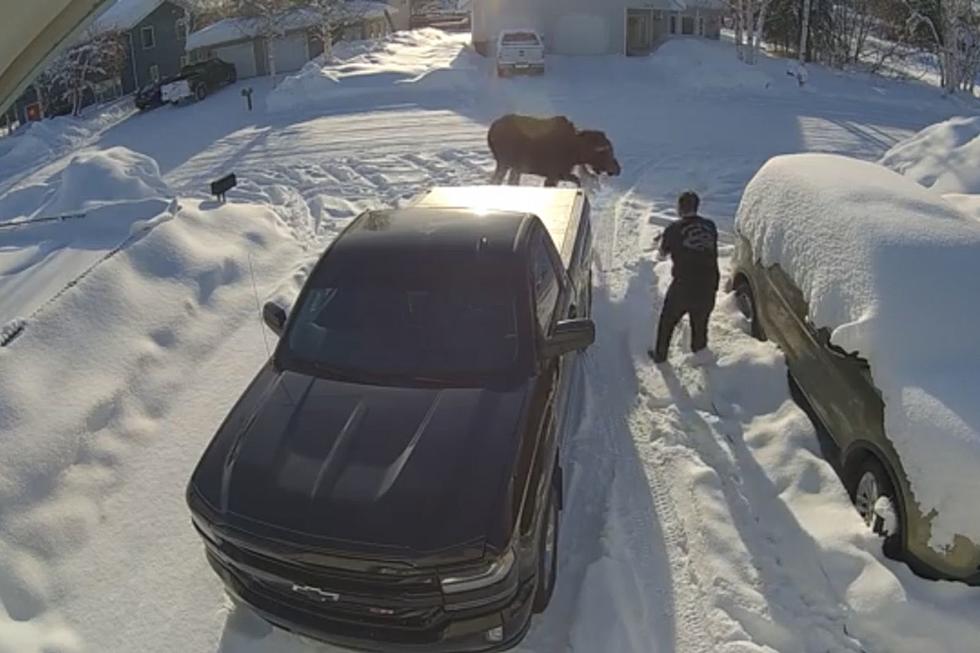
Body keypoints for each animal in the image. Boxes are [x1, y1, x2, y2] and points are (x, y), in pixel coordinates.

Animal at [488, 112, 620, 186]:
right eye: (607, 152)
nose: (618, 169)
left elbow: (577, 181)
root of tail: (491, 130)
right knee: (496, 181)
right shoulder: (553, 175)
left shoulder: (562, 174)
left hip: (514, 167)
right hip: (505, 163)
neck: (577, 153)